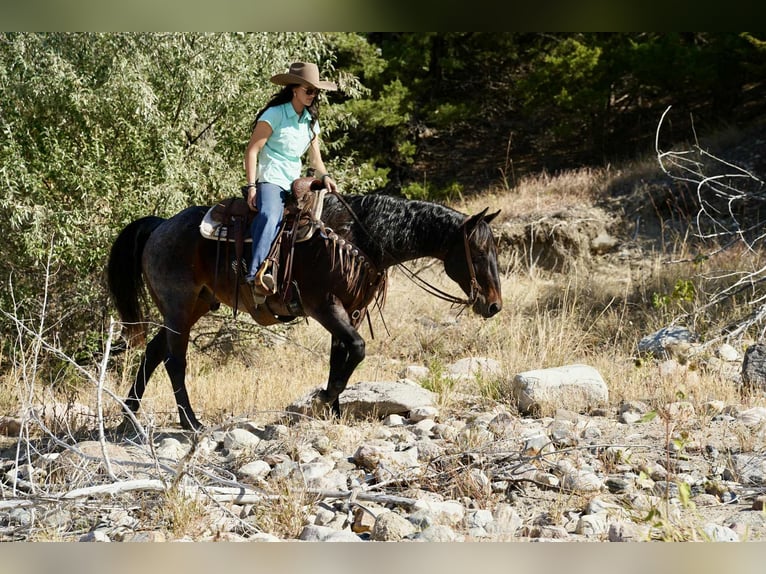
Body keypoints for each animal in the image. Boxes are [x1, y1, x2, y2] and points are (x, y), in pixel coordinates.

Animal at [107, 191, 503, 431]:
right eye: (479, 252)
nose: (494, 305)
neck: (356, 237)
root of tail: (160, 226)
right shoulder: (325, 306)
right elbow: (357, 349)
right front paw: (324, 399)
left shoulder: (350, 311)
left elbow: (341, 356)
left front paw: (334, 411)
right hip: (179, 305)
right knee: (174, 361)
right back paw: (190, 423)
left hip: (196, 305)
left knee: (154, 352)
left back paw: (129, 416)